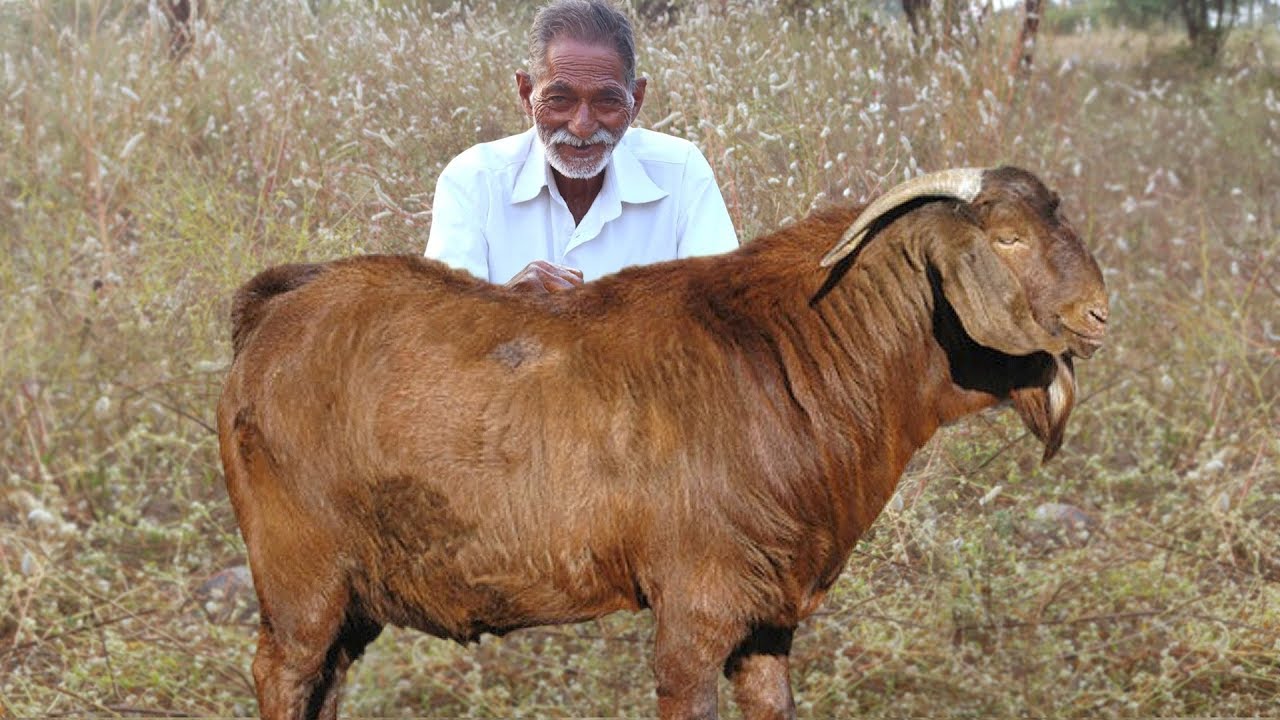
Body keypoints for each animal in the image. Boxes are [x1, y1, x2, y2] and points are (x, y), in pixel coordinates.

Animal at [217, 165, 1108, 720]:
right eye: (1006, 238)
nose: (1100, 314)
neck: (789, 358)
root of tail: (272, 309)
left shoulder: (769, 616)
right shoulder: (696, 606)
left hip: (355, 593)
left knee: (327, 680)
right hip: (299, 572)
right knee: (283, 670)